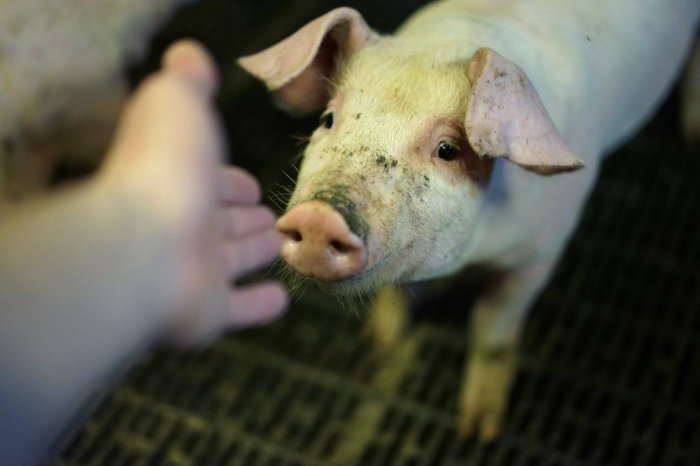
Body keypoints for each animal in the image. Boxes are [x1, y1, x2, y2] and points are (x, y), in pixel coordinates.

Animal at [239, 0, 700, 439]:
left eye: (448, 150)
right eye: (328, 119)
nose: (320, 216)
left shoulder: (541, 253)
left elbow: (491, 327)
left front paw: (479, 430)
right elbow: (401, 291)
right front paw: (382, 340)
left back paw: (692, 133)